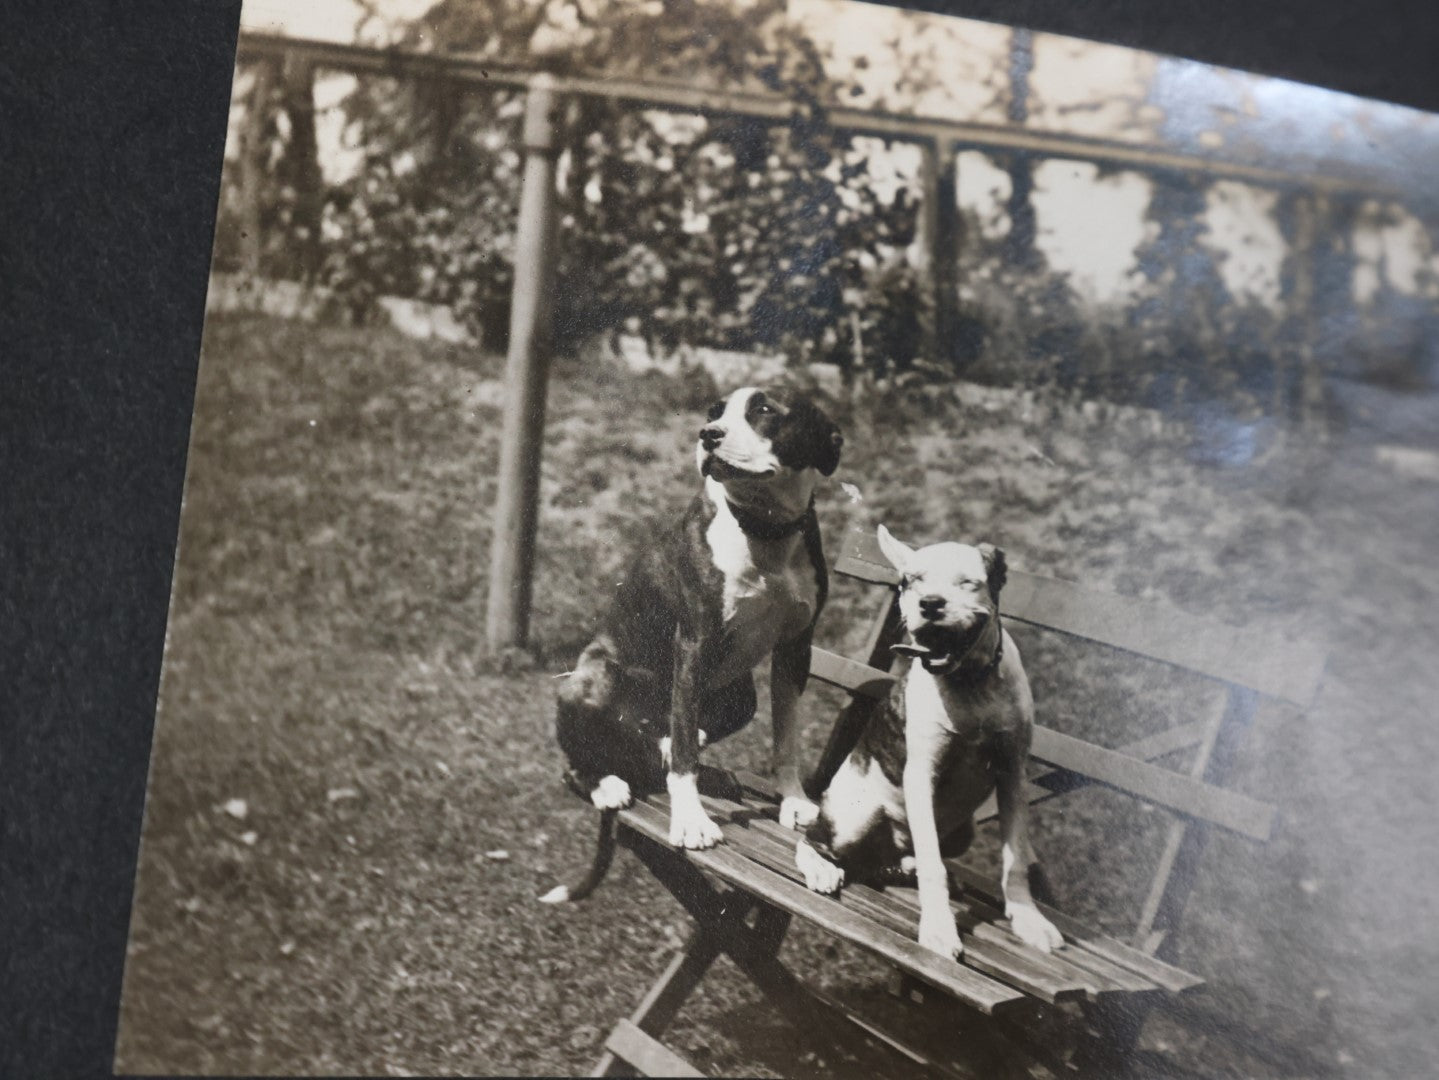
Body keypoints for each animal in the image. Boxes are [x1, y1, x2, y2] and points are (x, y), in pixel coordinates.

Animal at [794, 529, 1064, 960]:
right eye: (911, 581)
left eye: (967, 582)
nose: (930, 603)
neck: (971, 683)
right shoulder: (921, 776)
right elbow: (935, 865)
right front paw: (939, 927)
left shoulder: (1012, 776)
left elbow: (1014, 858)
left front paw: (1028, 919)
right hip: (856, 817)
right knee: (814, 840)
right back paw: (823, 867)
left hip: (962, 832)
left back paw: (906, 867)